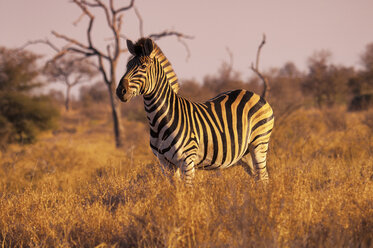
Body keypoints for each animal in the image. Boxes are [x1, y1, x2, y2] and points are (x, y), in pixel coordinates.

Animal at [116, 37, 274, 185]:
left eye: (143, 66)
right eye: (127, 66)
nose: (119, 91)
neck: (159, 120)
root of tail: (254, 94)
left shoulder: (187, 161)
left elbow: (188, 191)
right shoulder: (165, 163)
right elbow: (174, 192)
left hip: (259, 144)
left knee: (264, 177)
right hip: (245, 154)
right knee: (257, 177)